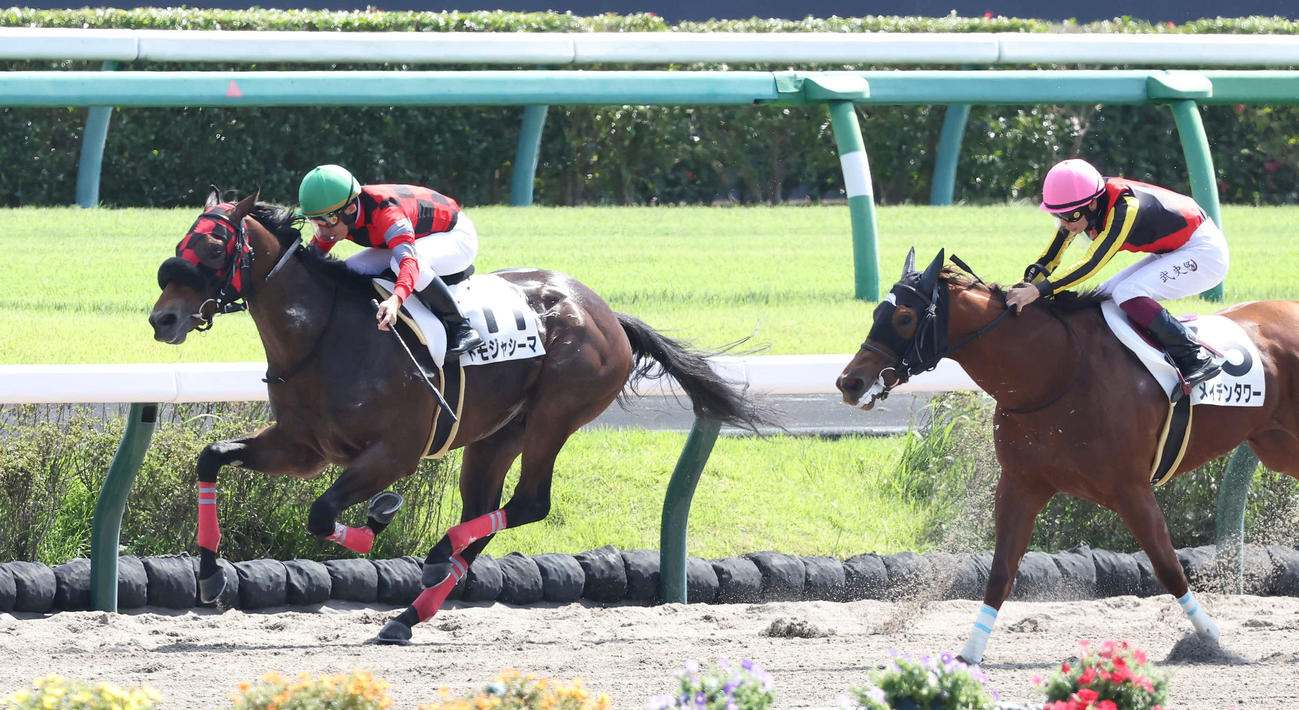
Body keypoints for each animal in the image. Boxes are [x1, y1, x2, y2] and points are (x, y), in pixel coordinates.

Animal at [148, 189, 776, 643]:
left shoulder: (393, 454)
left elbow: (323, 515)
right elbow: (212, 458)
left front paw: (379, 517)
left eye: (212, 247)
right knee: (485, 512)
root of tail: (604, 313)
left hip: (555, 414)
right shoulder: (301, 448)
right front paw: (209, 576)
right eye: (182, 239)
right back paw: (411, 610)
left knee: (528, 504)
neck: (325, 334)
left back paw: (434, 558)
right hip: (496, 435)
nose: (162, 319)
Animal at [835, 248, 1299, 664]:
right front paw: (970, 653)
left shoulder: (1131, 489)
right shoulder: (1021, 485)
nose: (849, 382)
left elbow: (1168, 566)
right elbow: (1001, 572)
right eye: (877, 312)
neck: (1058, 372)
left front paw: (1210, 637)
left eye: (904, 318)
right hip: (1277, 448)